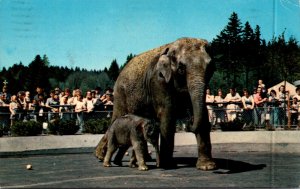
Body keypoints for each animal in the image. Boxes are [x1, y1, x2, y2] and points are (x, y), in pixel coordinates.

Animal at [96, 37, 216, 171]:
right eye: (181, 68)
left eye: (210, 68)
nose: (189, 122)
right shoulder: (158, 81)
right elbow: (167, 115)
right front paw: (168, 165)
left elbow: (204, 114)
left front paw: (207, 167)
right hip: (120, 95)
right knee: (116, 118)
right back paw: (100, 156)